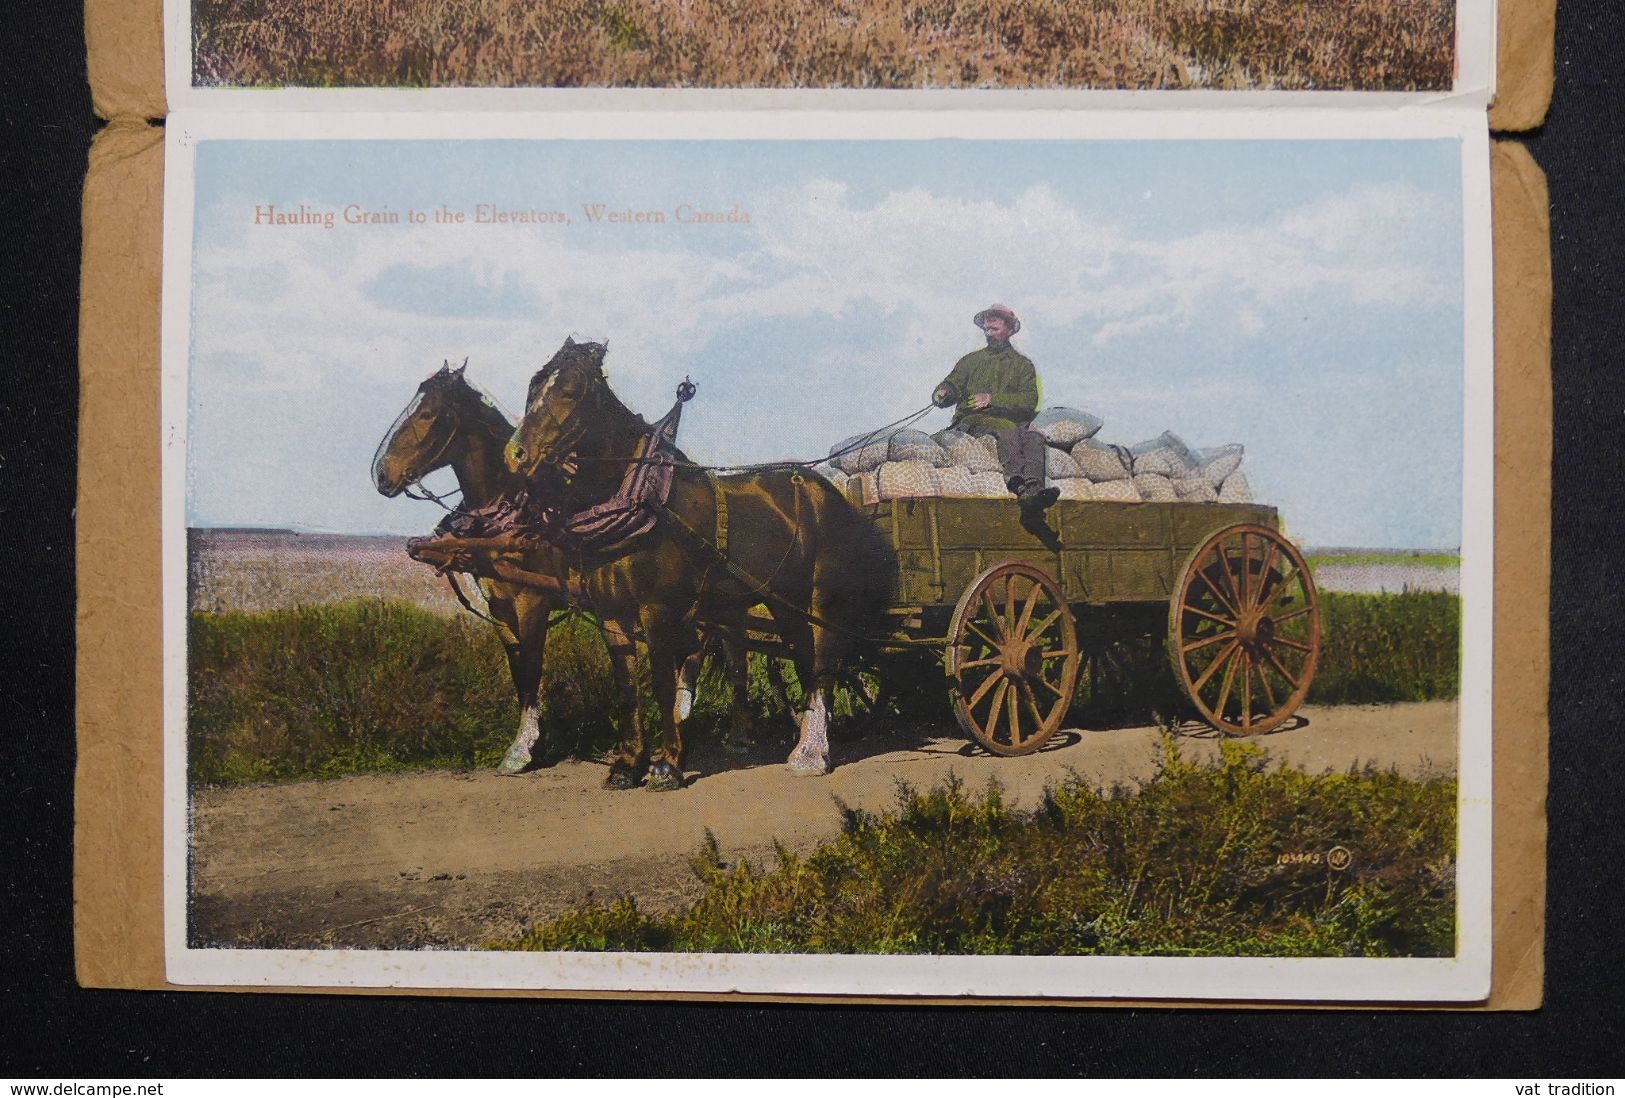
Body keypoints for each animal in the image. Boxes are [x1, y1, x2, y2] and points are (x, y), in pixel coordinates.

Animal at [503, 339, 890, 786]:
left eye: (569, 390)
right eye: (533, 387)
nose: (515, 454)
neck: (642, 503)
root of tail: (832, 493)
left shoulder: (658, 609)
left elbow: (662, 684)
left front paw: (667, 764)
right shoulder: (611, 612)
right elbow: (627, 687)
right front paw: (626, 764)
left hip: (821, 598)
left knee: (827, 661)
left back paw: (812, 754)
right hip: (784, 602)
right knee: (805, 660)